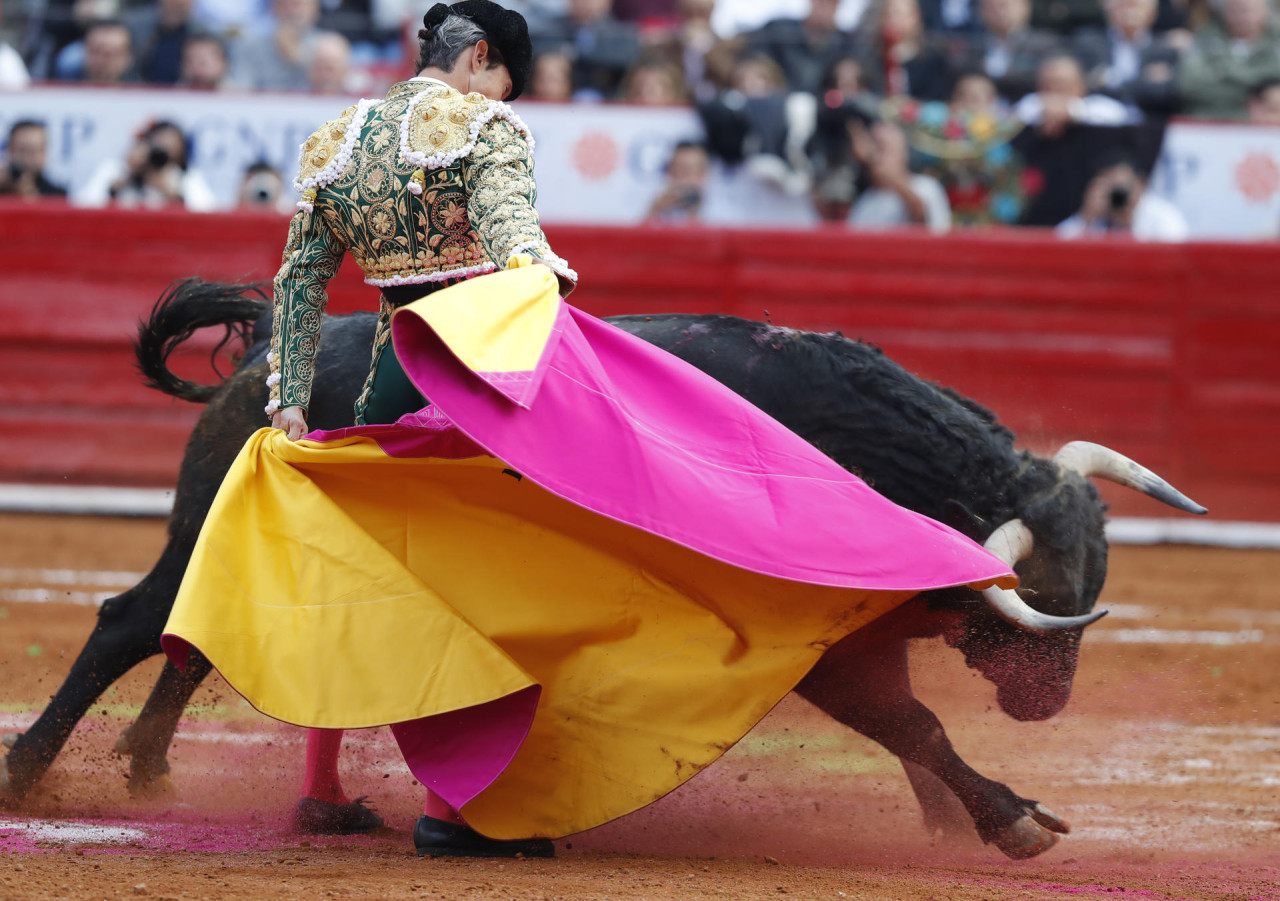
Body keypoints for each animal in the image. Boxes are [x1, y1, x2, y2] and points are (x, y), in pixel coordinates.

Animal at [0, 281, 1203, 860]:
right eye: (1043, 601)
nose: (1049, 703)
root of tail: (267, 351)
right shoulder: (813, 645)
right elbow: (914, 723)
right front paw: (1008, 820)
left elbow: (913, 728)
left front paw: (957, 821)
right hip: (197, 532)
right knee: (129, 620)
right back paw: (32, 774)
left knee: (196, 637)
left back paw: (151, 770)